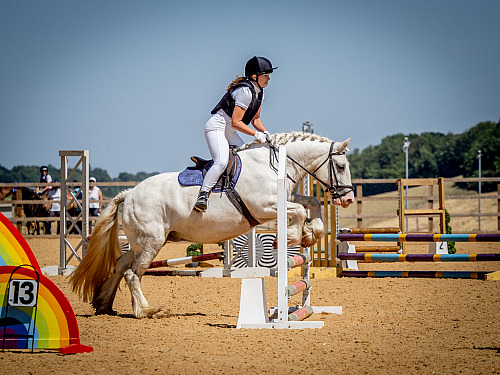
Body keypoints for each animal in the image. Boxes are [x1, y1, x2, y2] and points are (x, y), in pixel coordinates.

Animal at [71, 134, 356, 318]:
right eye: (341, 166)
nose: (348, 199)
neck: (276, 165)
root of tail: (129, 193)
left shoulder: (286, 198)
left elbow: (312, 202)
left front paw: (311, 233)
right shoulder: (265, 207)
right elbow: (297, 211)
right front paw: (292, 237)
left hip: (143, 242)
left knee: (120, 265)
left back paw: (104, 304)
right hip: (151, 243)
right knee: (132, 274)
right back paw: (148, 311)